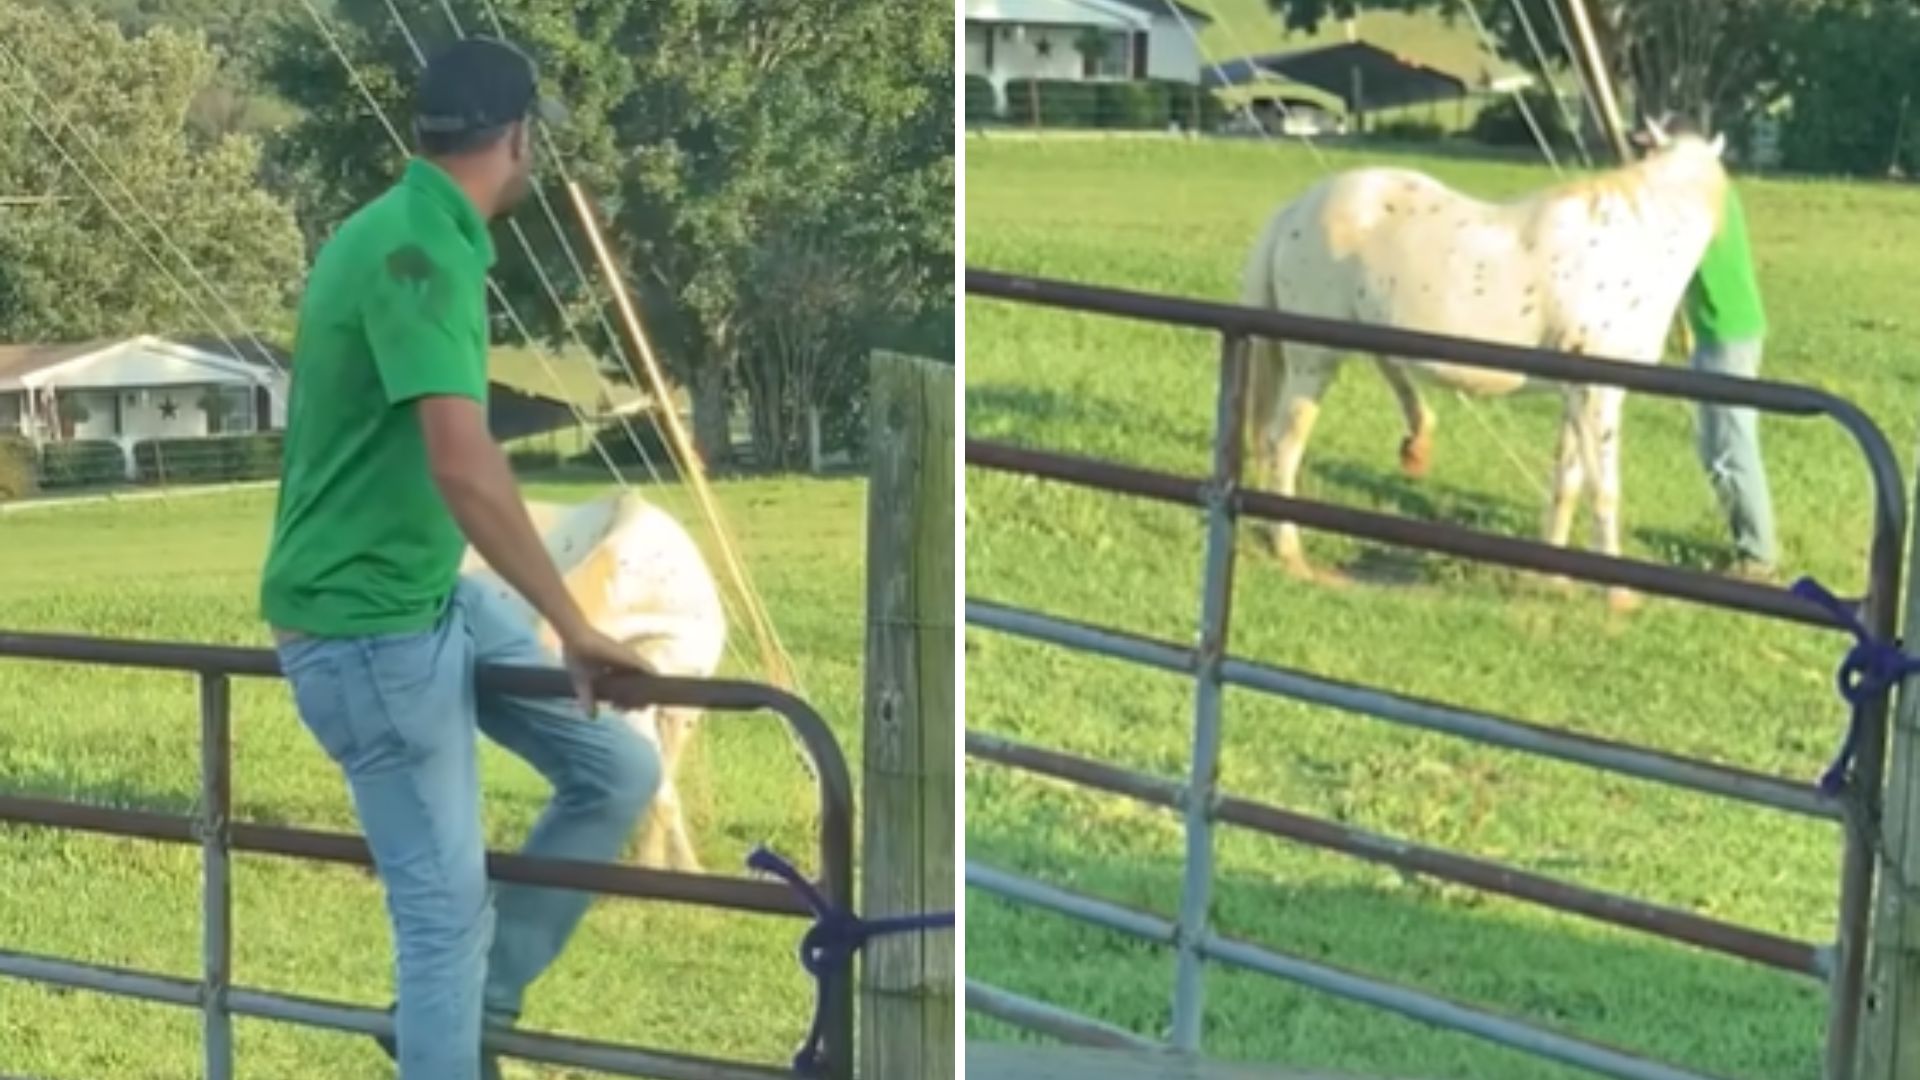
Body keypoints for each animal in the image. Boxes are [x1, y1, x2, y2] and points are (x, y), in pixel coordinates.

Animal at [1236, 122, 1735, 611]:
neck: (1628, 251)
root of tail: (1296, 209)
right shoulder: (1598, 393)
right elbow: (1602, 488)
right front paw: (1619, 596)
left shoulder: (1574, 395)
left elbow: (1567, 481)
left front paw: (1552, 580)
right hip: (1313, 362)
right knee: (1284, 446)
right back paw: (1291, 553)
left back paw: (1417, 444)